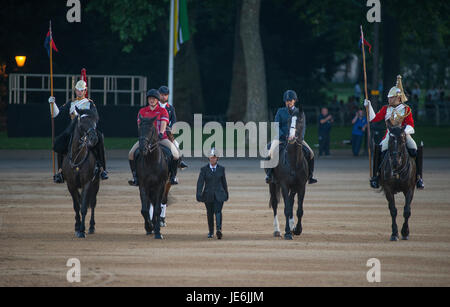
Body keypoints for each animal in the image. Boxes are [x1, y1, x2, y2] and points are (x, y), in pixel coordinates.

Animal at [62, 107, 101, 239]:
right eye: (82, 121)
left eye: (95, 122)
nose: (94, 139)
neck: (77, 158)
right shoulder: (70, 185)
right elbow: (76, 206)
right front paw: (77, 227)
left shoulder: (87, 183)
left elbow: (84, 206)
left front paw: (82, 230)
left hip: (96, 183)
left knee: (93, 203)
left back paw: (91, 226)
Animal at [268, 110, 308, 241]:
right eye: (289, 120)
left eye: (300, 120)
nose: (290, 138)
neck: (293, 161)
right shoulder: (284, 185)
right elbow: (286, 209)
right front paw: (287, 233)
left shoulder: (301, 186)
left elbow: (298, 209)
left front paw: (297, 229)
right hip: (272, 184)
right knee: (275, 203)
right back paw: (277, 230)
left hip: (293, 187)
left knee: (291, 202)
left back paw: (291, 226)